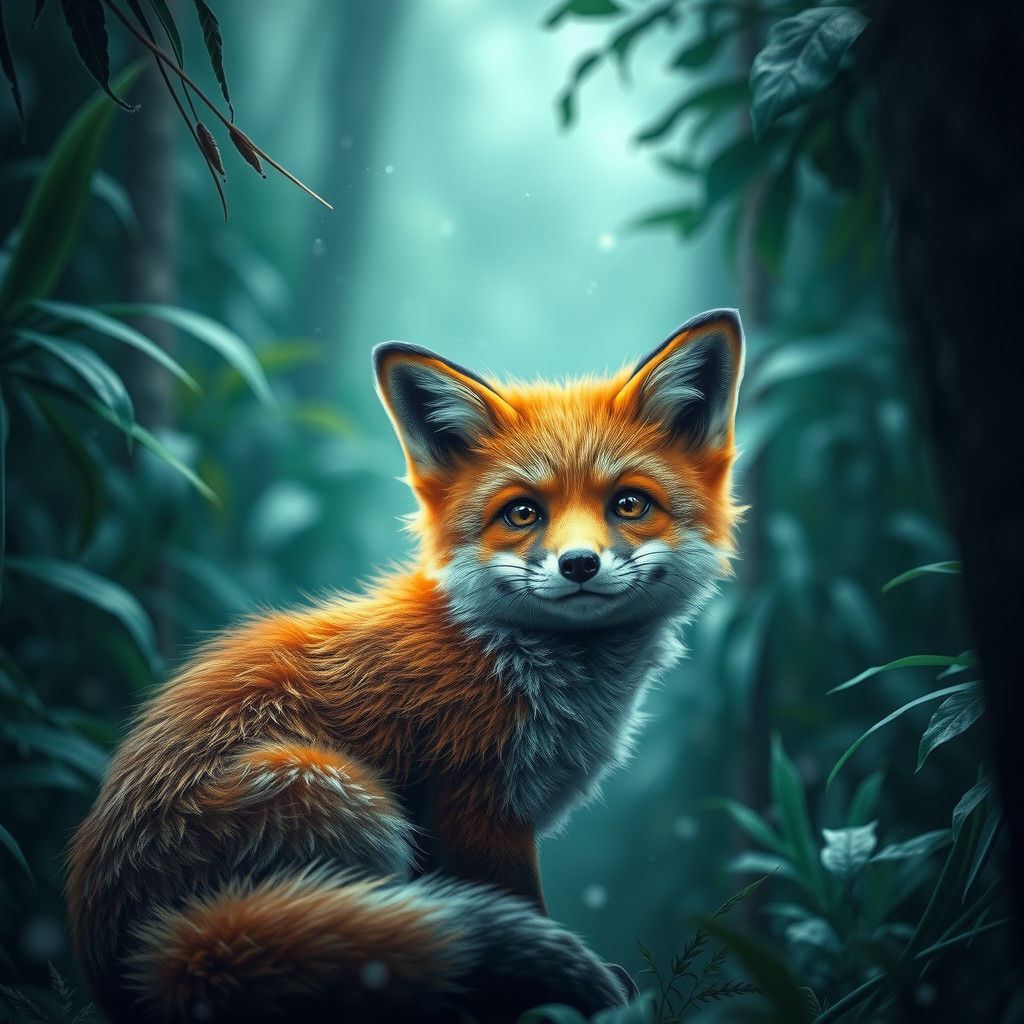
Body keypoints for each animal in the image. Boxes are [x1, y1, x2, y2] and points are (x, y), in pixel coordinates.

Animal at [66, 308, 745, 1024]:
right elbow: (522, 905)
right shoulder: (476, 804)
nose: (579, 565)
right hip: (334, 792)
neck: (502, 657)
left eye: (629, 504)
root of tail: (140, 961)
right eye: (523, 512)